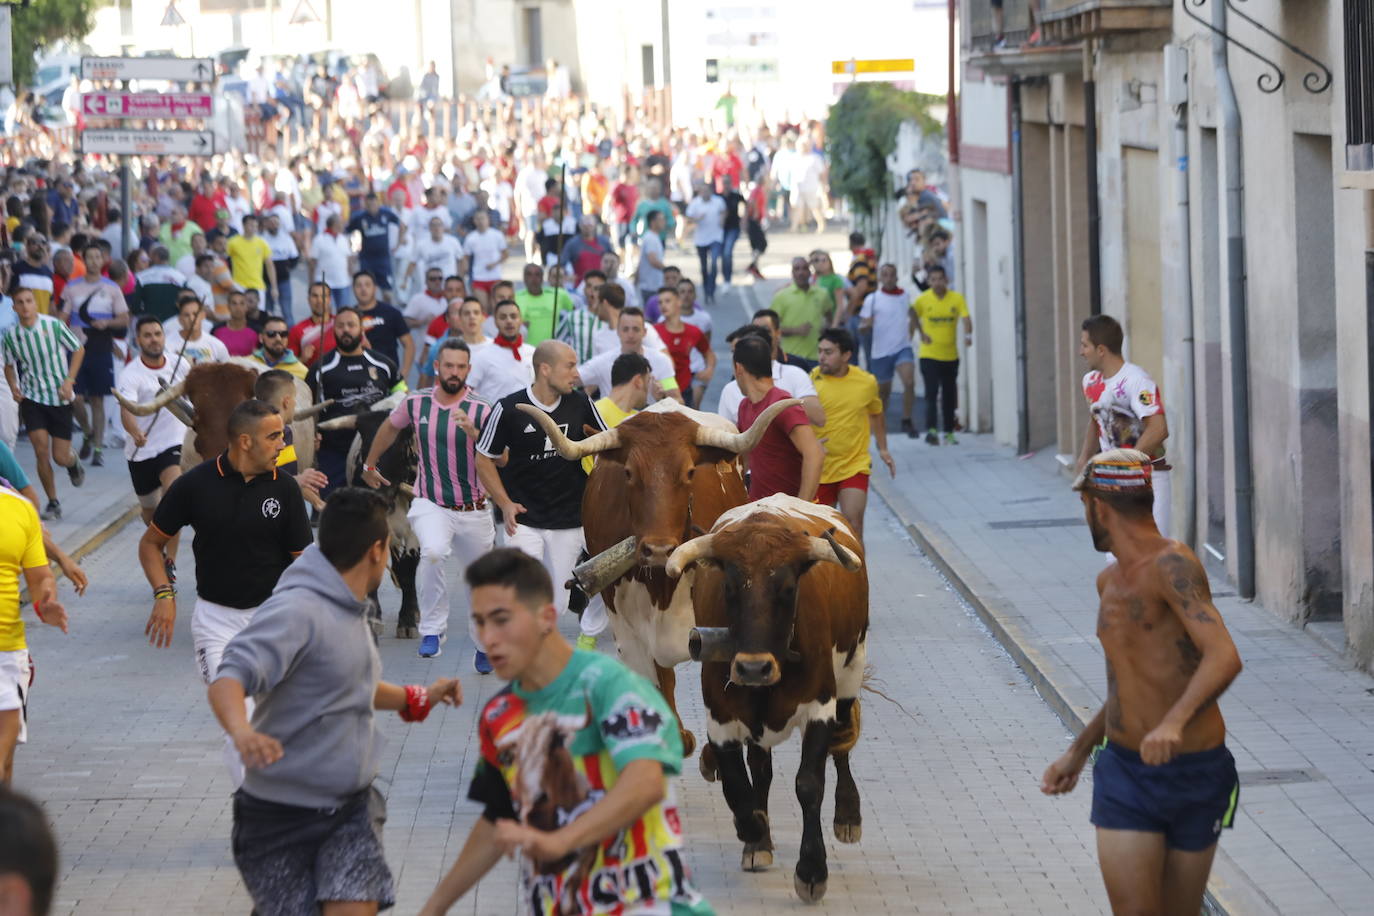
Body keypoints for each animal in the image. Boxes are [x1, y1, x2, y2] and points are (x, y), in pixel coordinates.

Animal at [317, 398, 420, 642]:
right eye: (364, 442)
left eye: (398, 443)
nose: (369, 490)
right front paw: (373, 619)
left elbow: (408, 569)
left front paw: (407, 620)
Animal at [516, 398, 802, 758]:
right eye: (628, 473)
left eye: (690, 472)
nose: (659, 549)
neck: (662, 585)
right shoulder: (630, 634)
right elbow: (656, 688)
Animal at [665, 494, 868, 900]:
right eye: (729, 587)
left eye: (788, 589)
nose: (753, 668)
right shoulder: (721, 713)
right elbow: (735, 782)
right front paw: (755, 832)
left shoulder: (820, 705)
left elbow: (809, 784)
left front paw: (812, 870)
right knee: (761, 767)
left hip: (852, 672)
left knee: (841, 747)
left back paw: (848, 815)